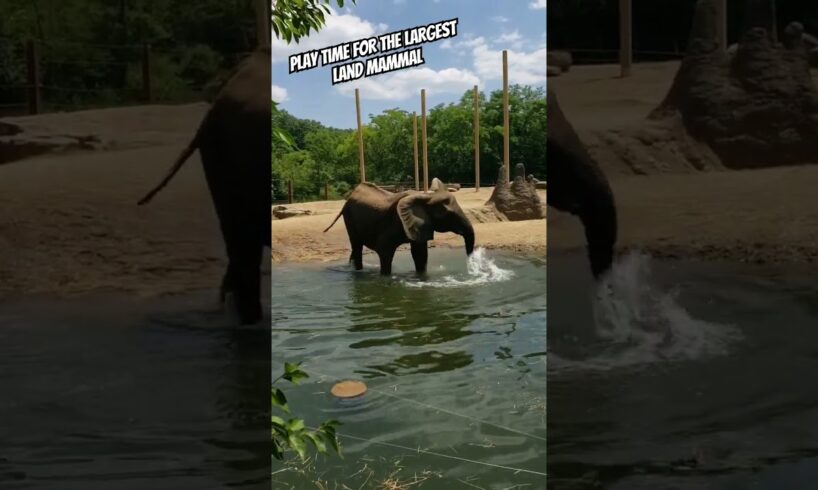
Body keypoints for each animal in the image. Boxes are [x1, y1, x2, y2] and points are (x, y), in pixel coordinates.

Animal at [322, 177, 474, 276]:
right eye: (448, 214)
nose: (470, 267)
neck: (425, 197)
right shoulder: (392, 224)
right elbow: (385, 252)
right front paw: (385, 278)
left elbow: (420, 254)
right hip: (349, 217)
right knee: (357, 246)